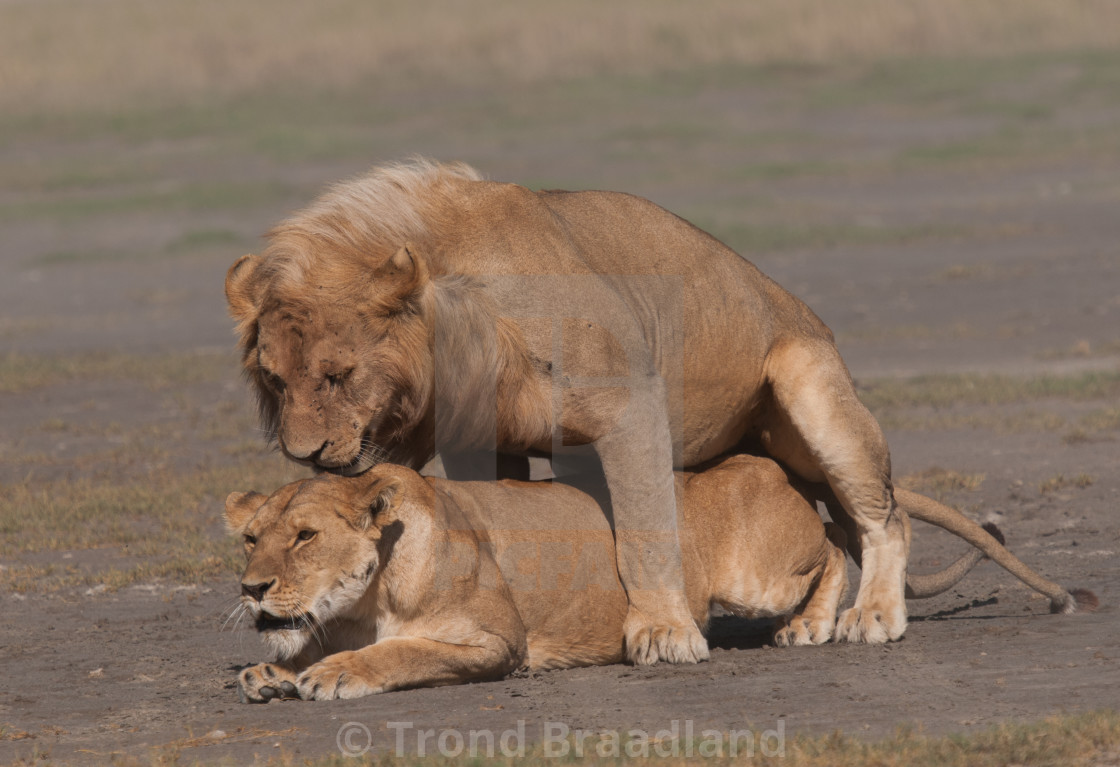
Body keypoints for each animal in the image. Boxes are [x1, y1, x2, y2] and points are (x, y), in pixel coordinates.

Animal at [227, 158, 909, 662]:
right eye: (275, 380)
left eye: (337, 375)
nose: (304, 454)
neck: (465, 327)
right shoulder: (480, 439)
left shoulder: (632, 403)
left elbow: (644, 530)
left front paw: (664, 632)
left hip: (811, 393)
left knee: (883, 517)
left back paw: (872, 615)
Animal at [227, 454, 1093, 698]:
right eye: (249, 539)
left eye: (304, 536)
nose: (250, 589)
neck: (362, 601)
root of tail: (770, 462)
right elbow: (302, 649)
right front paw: (272, 671)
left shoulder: (493, 639)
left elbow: (399, 652)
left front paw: (334, 674)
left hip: (752, 572)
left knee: (837, 545)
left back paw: (813, 624)